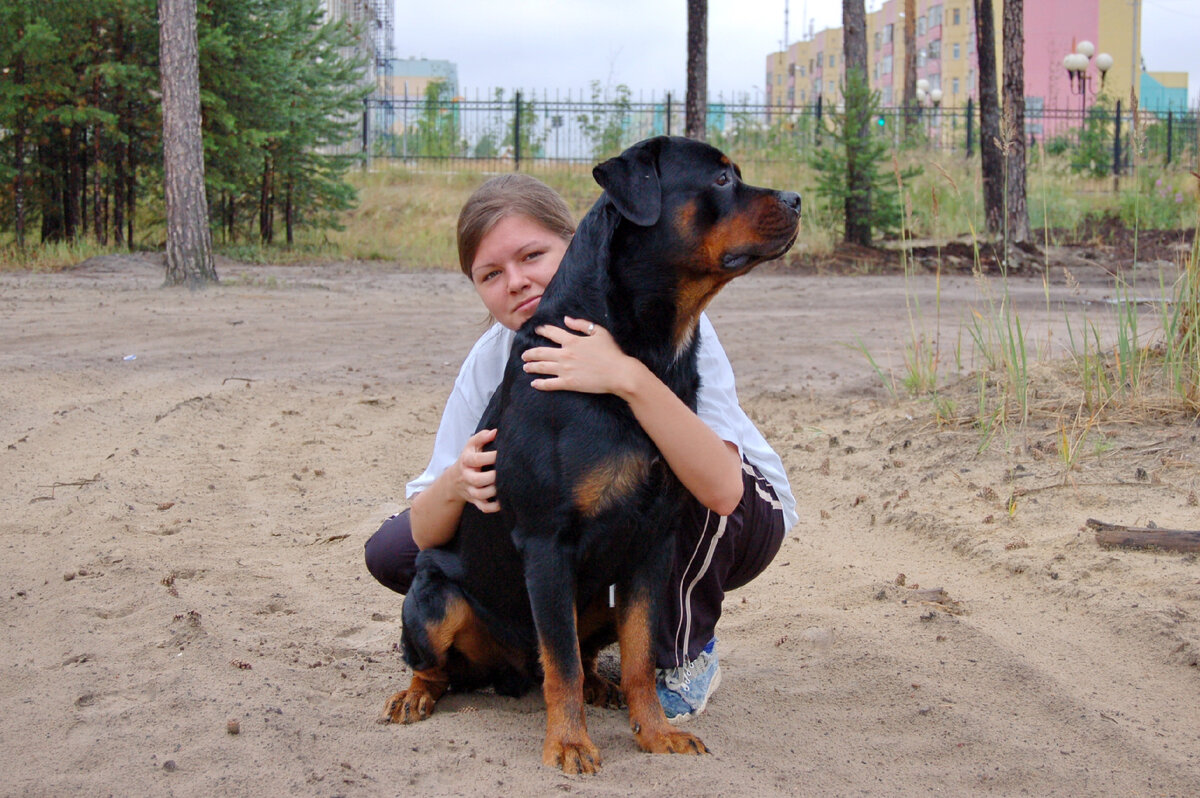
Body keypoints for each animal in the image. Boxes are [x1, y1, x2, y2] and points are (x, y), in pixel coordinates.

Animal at [379, 135, 801, 772]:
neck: (646, 351)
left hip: (602, 593)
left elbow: (639, 656)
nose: (797, 198)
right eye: (722, 179)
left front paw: (654, 732)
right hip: (432, 600)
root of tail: (506, 672)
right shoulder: (548, 541)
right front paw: (569, 743)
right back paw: (415, 695)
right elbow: (562, 665)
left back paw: (604, 689)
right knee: (441, 664)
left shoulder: (653, 543)